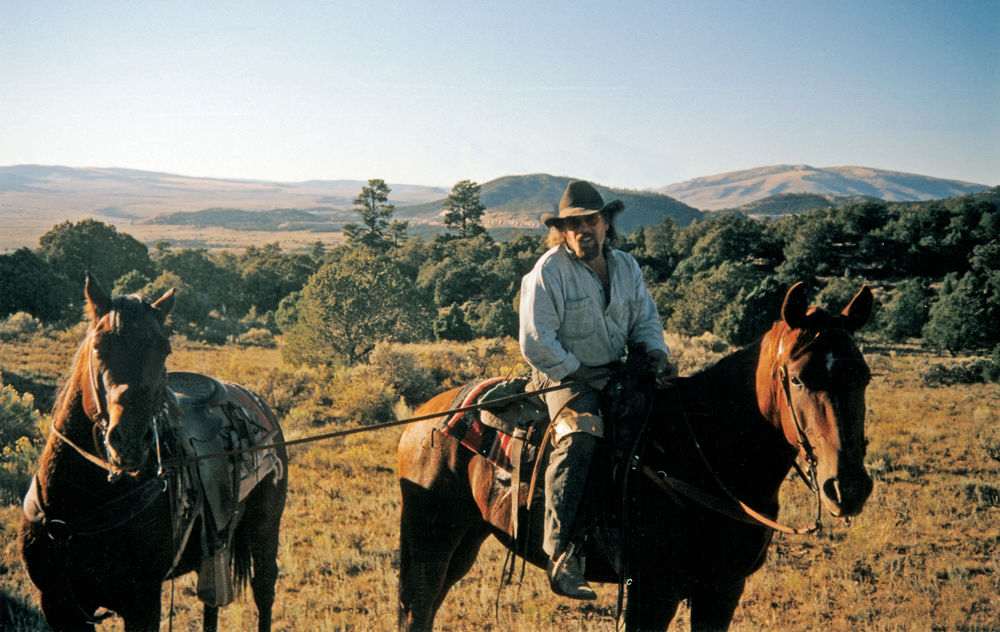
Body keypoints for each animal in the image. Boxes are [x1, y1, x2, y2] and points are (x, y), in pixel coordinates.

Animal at [18, 276, 290, 632]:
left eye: (165, 350)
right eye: (98, 345)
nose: (131, 439)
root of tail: (257, 402)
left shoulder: (143, 603)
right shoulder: (57, 606)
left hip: (265, 530)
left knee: (264, 591)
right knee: (211, 601)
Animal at [398, 282, 876, 632]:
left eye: (865, 376)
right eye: (796, 378)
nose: (847, 486)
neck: (699, 456)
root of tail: (426, 417)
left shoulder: (722, 590)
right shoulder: (651, 594)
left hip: (467, 539)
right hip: (430, 540)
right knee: (415, 610)